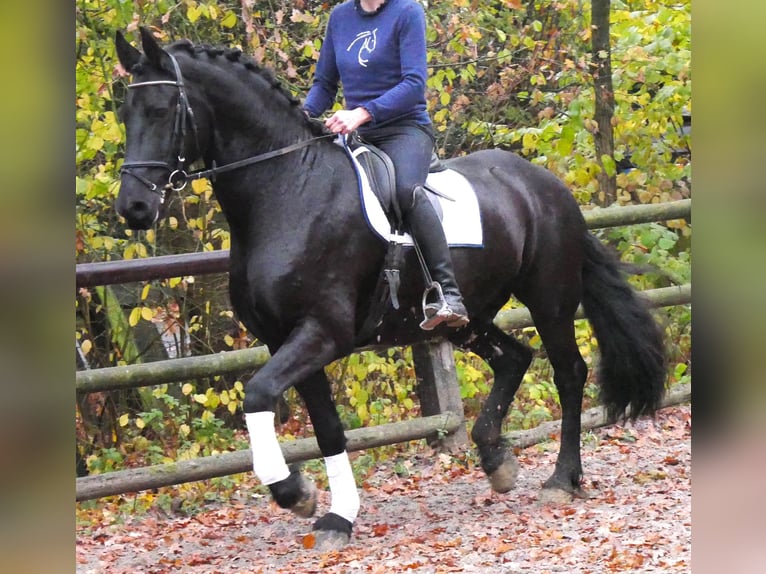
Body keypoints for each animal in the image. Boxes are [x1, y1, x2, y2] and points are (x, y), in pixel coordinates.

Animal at [114, 27, 666, 549]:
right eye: (125, 113)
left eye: (161, 110)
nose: (134, 208)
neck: (289, 190)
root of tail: (546, 185)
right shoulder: (284, 339)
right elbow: (327, 427)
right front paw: (337, 515)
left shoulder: (322, 332)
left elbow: (258, 394)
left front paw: (294, 492)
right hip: (469, 318)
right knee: (514, 358)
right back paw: (496, 460)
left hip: (549, 300)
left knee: (569, 373)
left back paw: (561, 479)